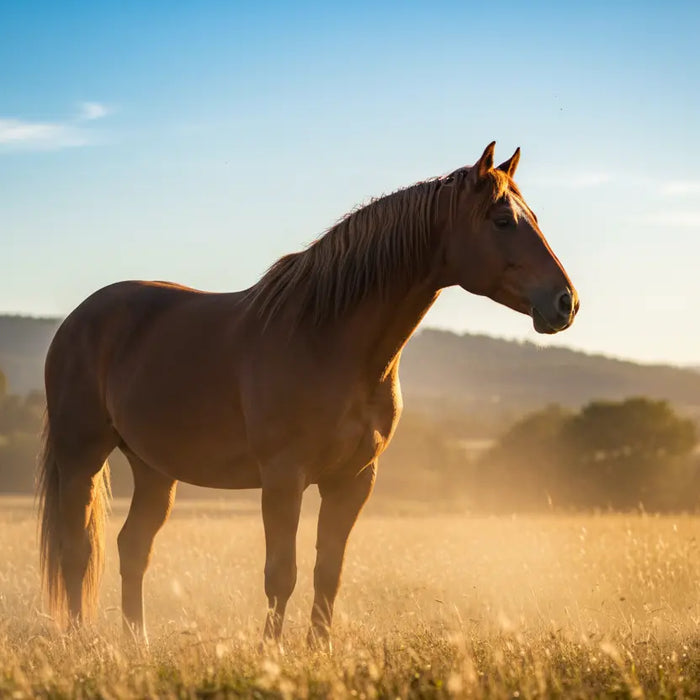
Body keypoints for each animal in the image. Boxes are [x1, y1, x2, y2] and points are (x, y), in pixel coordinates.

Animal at [37, 141, 579, 649]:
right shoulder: (284, 477)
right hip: (82, 457)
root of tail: (78, 320)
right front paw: (270, 653)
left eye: (533, 218)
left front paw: (319, 650)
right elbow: (282, 573)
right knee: (76, 550)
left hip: (154, 469)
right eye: (503, 221)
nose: (566, 302)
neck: (328, 339)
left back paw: (138, 644)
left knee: (132, 548)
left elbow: (328, 573)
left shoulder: (353, 479)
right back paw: (79, 641)